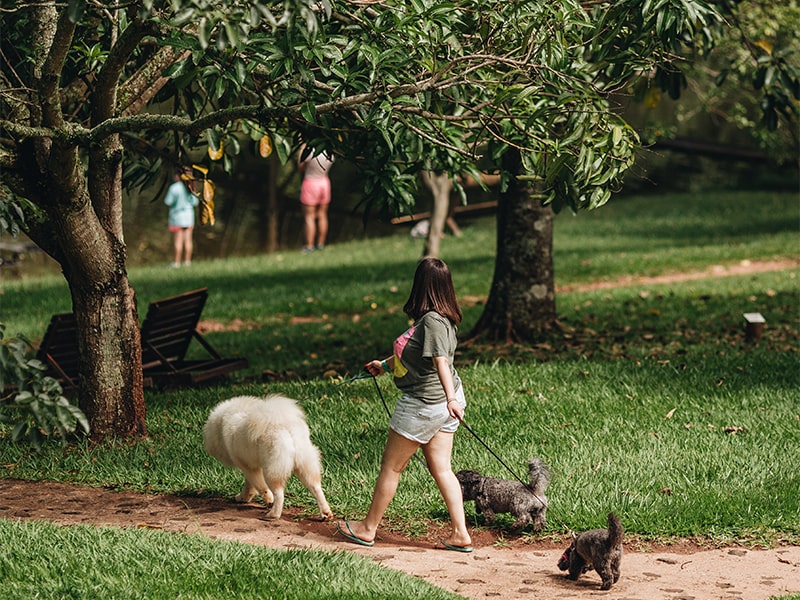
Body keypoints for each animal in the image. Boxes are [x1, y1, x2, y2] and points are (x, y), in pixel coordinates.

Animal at [206, 394, 334, 520]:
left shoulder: (247, 466)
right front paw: (243, 497)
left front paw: (266, 500)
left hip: (272, 469)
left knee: (279, 494)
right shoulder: (252, 465)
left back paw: (273, 514)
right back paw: (325, 513)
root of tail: (285, 426)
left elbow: (260, 486)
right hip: (305, 465)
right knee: (316, 488)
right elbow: (250, 485)